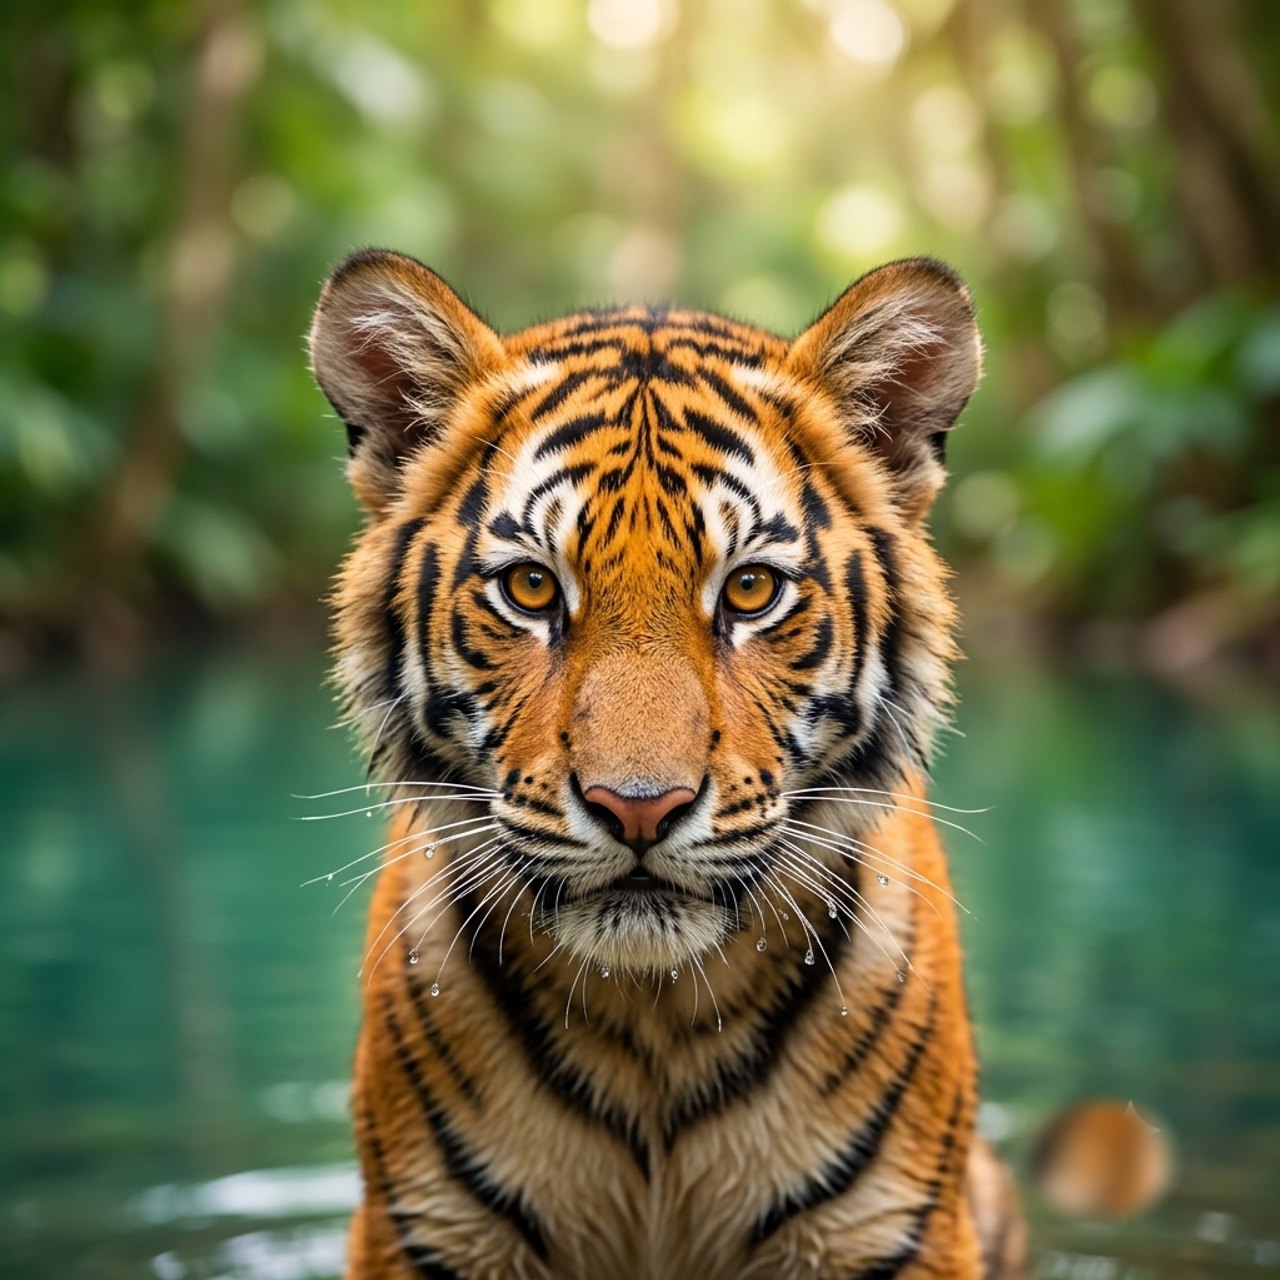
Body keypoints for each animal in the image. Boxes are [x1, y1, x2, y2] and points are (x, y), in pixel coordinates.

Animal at [307, 248, 1027, 1280]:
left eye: (751, 589)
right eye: (532, 588)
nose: (639, 807)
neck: (654, 1020)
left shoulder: (890, 1231)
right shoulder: (429, 1231)